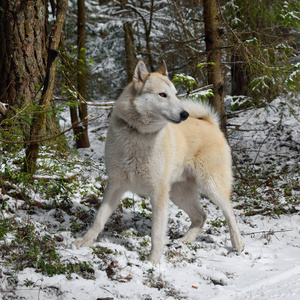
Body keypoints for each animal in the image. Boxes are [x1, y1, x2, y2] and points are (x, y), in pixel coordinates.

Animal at [74, 59, 245, 264]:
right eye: (163, 95)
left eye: (175, 94)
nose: (185, 114)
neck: (138, 134)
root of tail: (210, 123)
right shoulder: (115, 185)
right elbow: (99, 218)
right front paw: (85, 241)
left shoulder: (158, 193)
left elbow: (156, 232)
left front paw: (152, 262)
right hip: (179, 193)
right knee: (201, 216)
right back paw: (185, 241)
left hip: (211, 186)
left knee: (230, 212)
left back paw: (237, 243)